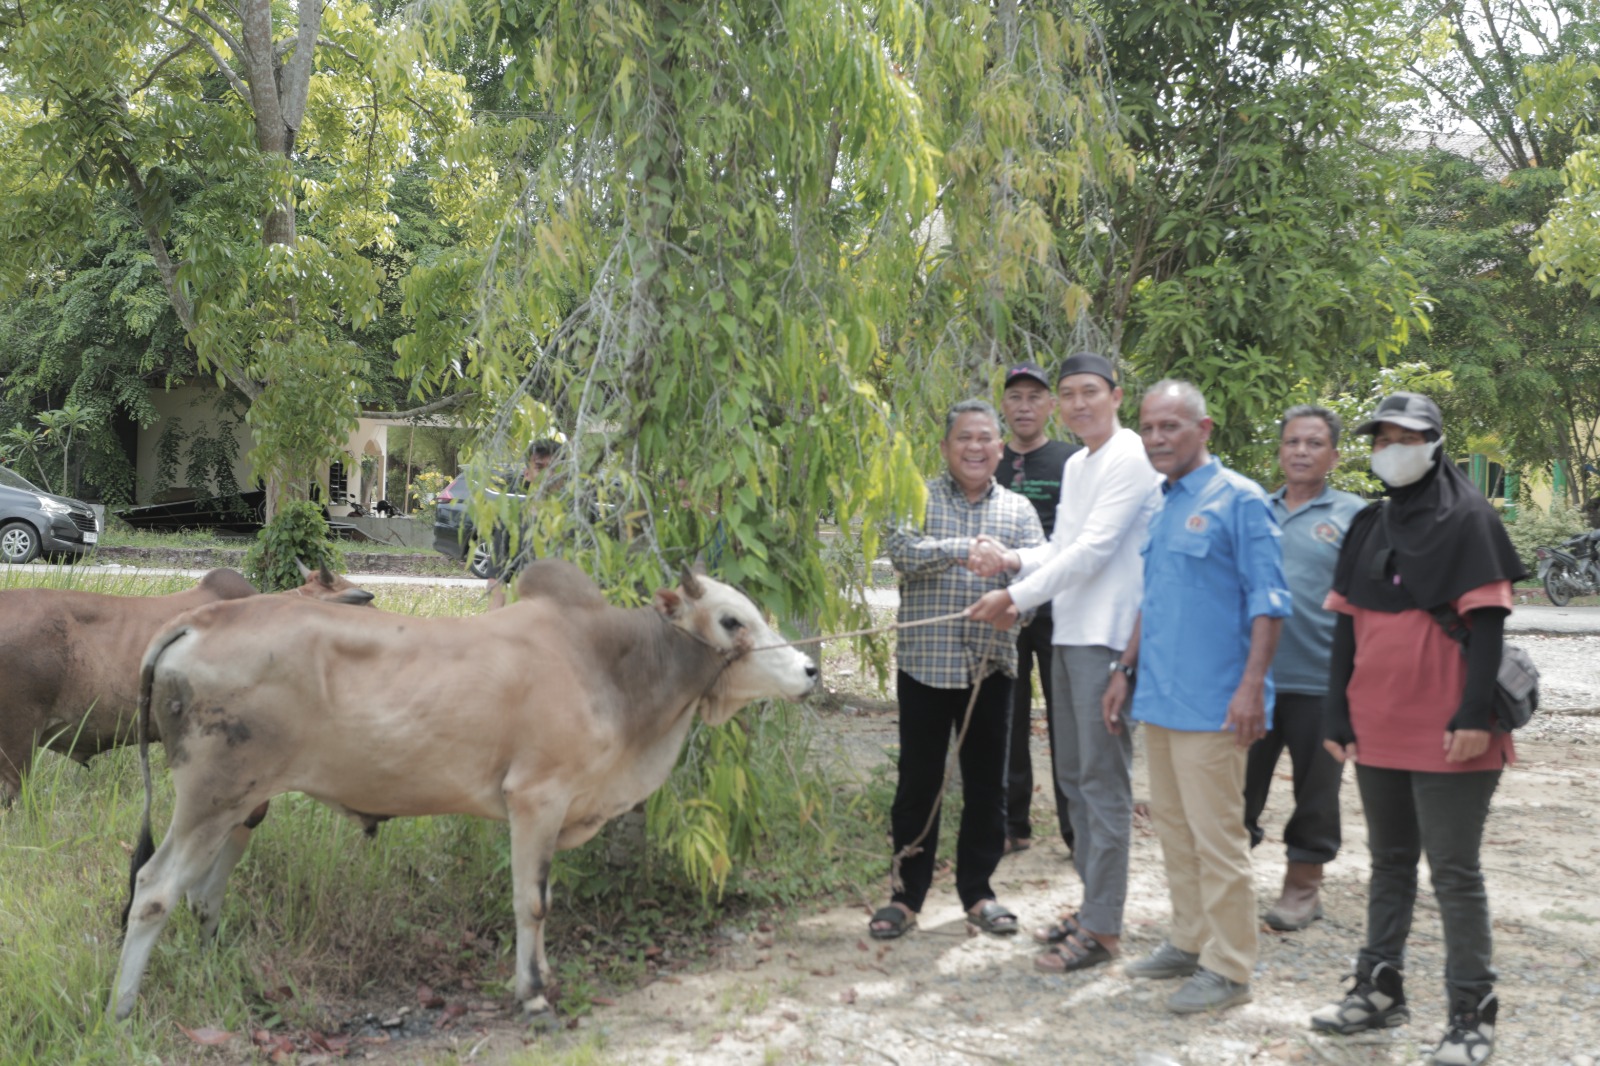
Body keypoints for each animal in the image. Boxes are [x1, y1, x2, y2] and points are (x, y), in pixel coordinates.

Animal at [109, 557, 825, 1011]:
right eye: (732, 620)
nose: (809, 669)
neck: (613, 667)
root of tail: (199, 622)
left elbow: (542, 902)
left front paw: (543, 978)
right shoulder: (536, 798)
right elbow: (532, 903)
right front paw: (531, 993)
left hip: (239, 803)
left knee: (202, 894)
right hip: (211, 796)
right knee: (155, 890)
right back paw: (122, 1011)